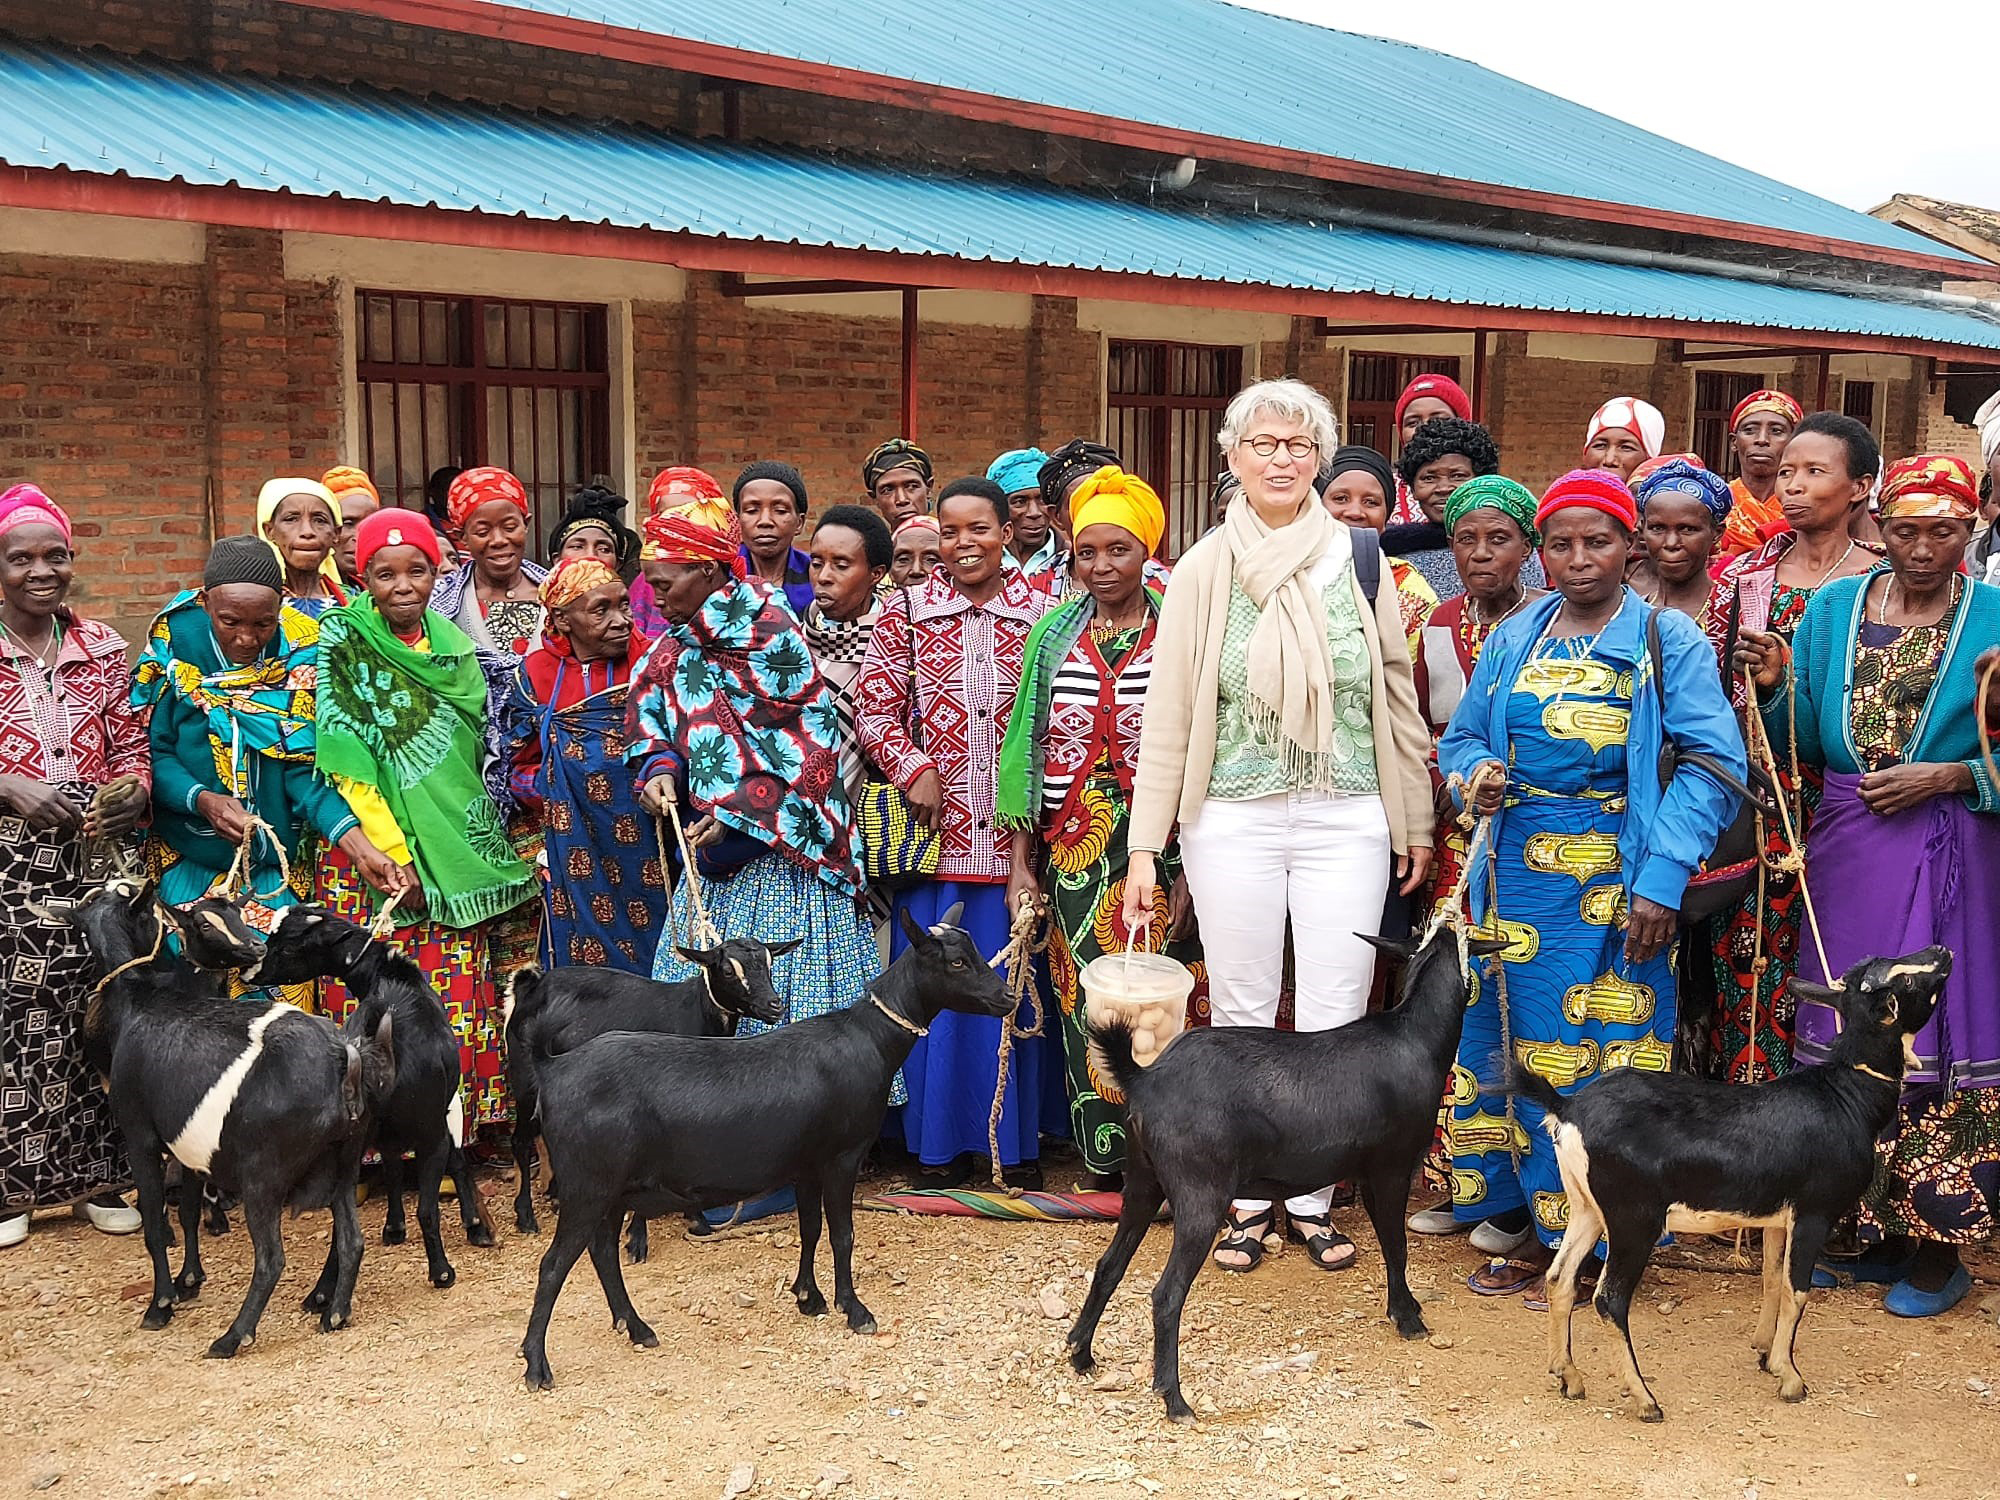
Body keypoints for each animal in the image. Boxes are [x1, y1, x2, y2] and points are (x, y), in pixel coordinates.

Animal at [57, 880, 394, 1360]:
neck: (138, 1001)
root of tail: (344, 1058)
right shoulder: (188, 1144)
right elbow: (189, 1210)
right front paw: (188, 1282)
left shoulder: (140, 1136)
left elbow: (156, 1224)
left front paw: (160, 1305)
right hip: (345, 1163)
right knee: (351, 1240)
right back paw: (334, 1314)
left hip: (263, 1177)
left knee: (271, 1259)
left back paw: (234, 1336)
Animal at [524, 904, 1008, 1400]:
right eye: (956, 962)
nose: (1008, 998)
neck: (869, 1039)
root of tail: (553, 1068)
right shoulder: (842, 1157)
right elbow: (843, 1234)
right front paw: (854, 1309)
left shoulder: (806, 1164)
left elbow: (811, 1230)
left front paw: (808, 1296)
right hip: (588, 1183)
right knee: (553, 1265)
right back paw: (538, 1366)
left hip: (613, 1188)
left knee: (601, 1251)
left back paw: (635, 1327)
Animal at [1520, 944, 1944, 1424]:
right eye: (1907, 980)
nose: (1941, 950)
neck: (1845, 1096)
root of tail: (1568, 1105)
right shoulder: (1815, 1212)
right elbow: (1798, 1290)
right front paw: (1790, 1377)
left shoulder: (1778, 1219)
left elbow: (1772, 1278)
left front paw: (1765, 1353)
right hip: (1634, 1218)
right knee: (1608, 1299)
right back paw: (1645, 1400)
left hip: (1588, 1208)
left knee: (1560, 1278)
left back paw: (1568, 1376)